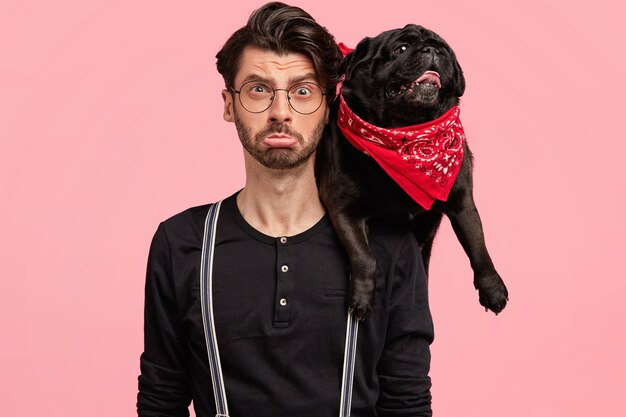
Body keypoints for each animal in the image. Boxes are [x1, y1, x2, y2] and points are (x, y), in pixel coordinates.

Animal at [316, 24, 508, 318]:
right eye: (401, 49)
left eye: (445, 51)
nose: (432, 51)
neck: (407, 133)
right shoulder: (343, 210)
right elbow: (364, 257)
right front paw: (361, 297)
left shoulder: (462, 203)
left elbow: (478, 246)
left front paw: (493, 289)